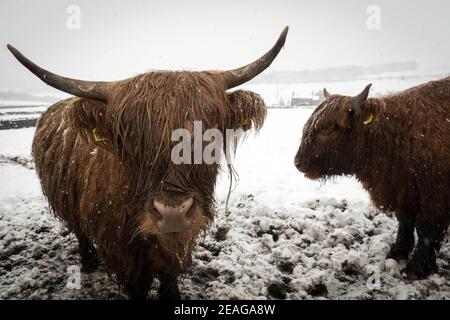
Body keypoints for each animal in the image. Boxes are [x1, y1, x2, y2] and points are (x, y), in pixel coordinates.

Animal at [6, 27, 288, 300]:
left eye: (209, 136)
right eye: (128, 139)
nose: (173, 214)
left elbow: (169, 277)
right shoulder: (123, 253)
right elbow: (137, 287)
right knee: (80, 231)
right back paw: (88, 262)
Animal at [294, 78, 450, 280]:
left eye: (331, 128)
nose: (297, 162)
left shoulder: (435, 198)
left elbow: (426, 230)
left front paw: (416, 268)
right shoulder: (403, 190)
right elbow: (405, 221)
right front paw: (398, 252)